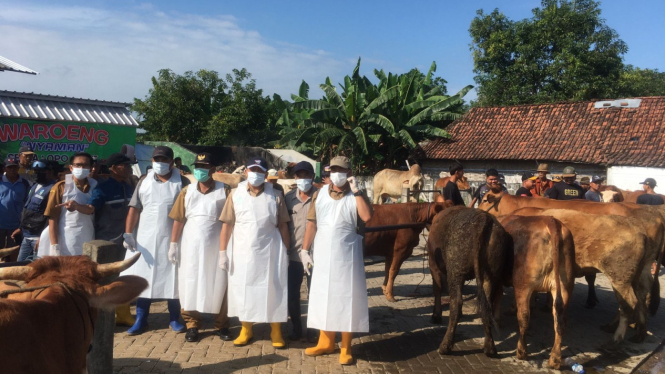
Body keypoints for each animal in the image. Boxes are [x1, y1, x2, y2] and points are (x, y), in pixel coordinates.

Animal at [428, 207, 506, 356]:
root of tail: (482, 219)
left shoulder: (433, 265)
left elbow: (437, 289)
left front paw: (436, 315)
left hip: (456, 271)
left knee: (456, 303)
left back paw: (445, 346)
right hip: (489, 275)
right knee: (486, 307)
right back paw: (490, 348)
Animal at [500, 216, 572, 368]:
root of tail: (551, 221)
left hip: (523, 285)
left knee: (523, 318)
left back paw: (522, 351)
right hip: (565, 287)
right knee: (560, 321)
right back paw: (555, 359)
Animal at [508, 209, 648, 346]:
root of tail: (641, 234)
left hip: (620, 279)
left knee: (629, 304)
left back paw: (616, 338)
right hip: (634, 277)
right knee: (640, 298)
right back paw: (637, 332)